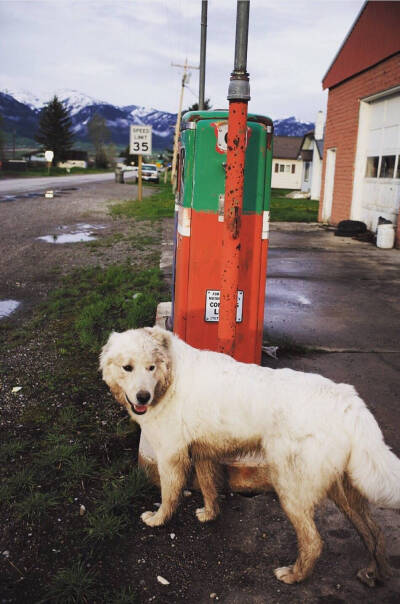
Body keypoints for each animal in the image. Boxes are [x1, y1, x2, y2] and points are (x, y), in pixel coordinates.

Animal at [101, 326, 400, 584]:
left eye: (150, 367)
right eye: (127, 367)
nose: (143, 397)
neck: (170, 377)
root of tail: (348, 401)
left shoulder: (170, 455)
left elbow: (169, 494)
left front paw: (159, 519)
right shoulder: (203, 453)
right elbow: (209, 487)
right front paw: (209, 514)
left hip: (291, 488)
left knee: (314, 542)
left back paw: (294, 575)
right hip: (344, 490)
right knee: (374, 532)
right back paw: (376, 573)